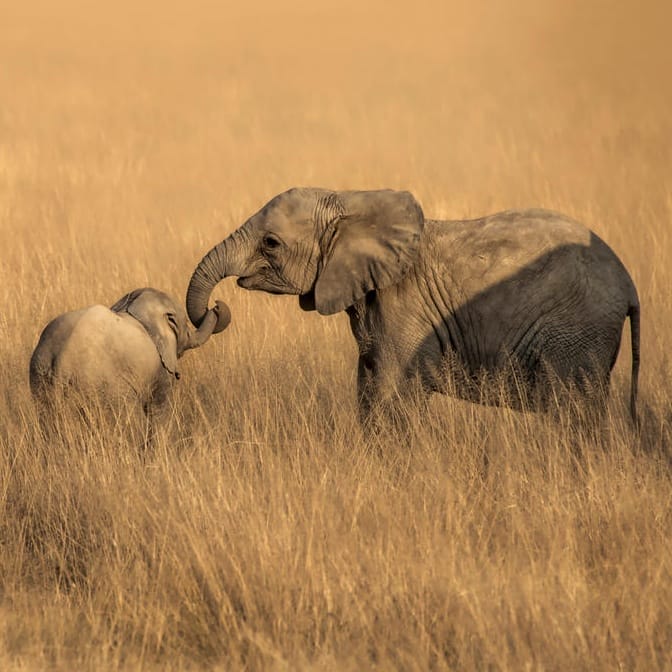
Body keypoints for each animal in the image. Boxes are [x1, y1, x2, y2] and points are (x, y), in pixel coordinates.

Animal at [186, 186, 636, 422]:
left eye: (271, 243)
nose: (217, 309)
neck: (349, 202)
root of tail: (628, 284)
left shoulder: (405, 307)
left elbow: (390, 392)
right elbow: (368, 385)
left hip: (576, 331)